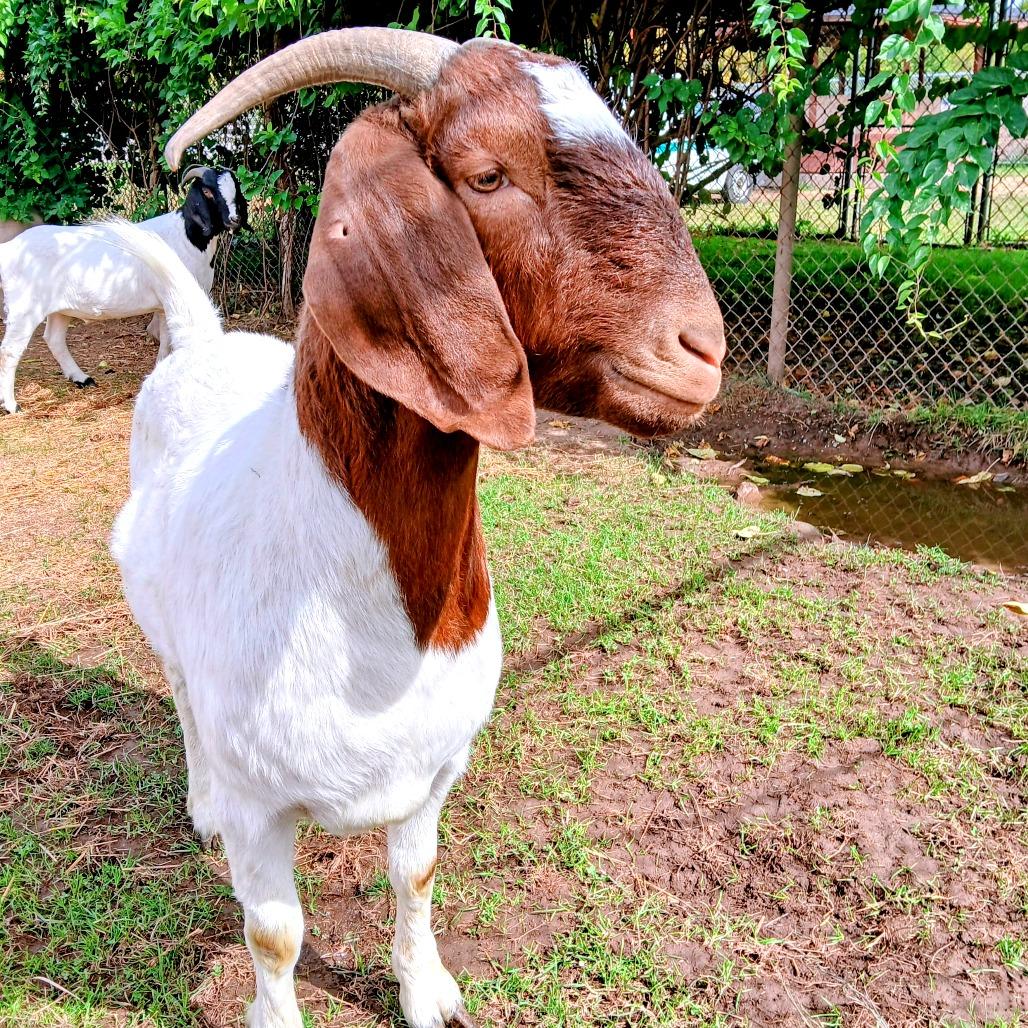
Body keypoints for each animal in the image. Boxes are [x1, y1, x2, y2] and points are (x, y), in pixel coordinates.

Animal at [0, 167, 246, 414]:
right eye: (207, 191)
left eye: (235, 187)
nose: (234, 219)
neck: (185, 235)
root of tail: (10, 249)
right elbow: (168, 340)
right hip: (25, 307)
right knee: (9, 350)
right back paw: (12, 405)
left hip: (60, 308)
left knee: (54, 339)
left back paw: (82, 378)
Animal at [109, 27, 726, 1028]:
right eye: (487, 176)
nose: (701, 352)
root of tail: (201, 341)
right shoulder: (259, 808)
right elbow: (274, 935)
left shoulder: (435, 770)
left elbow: (418, 877)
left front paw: (427, 992)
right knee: (179, 696)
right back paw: (195, 799)